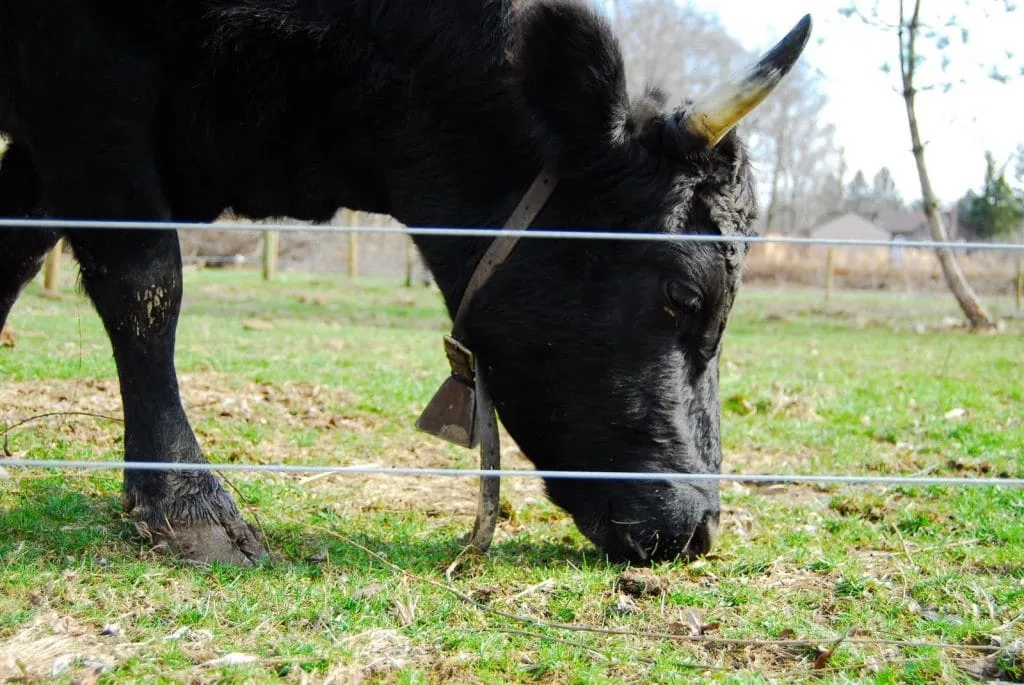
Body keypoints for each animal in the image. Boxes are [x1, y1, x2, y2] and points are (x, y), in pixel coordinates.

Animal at [0, 0, 810, 565]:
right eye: (685, 296)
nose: (699, 526)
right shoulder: (85, 86)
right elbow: (146, 284)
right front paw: (185, 502)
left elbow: (14, 252)